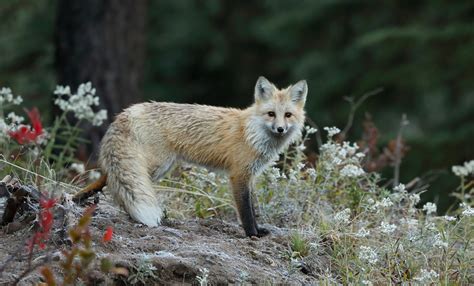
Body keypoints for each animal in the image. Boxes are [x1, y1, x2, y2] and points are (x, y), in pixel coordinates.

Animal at [75, 76, 308, 237]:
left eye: (288, 115)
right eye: (271, 114)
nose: (280, 129)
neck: (252, 133)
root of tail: (130, 110)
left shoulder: (250, 177)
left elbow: (252, 207)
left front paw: (259, 230)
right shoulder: (238, 175)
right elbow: (246, 211)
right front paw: (252, 234)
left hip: (157, 168)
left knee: (110, 178)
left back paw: (79, 199)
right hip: (154, 166)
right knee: (111, 178)